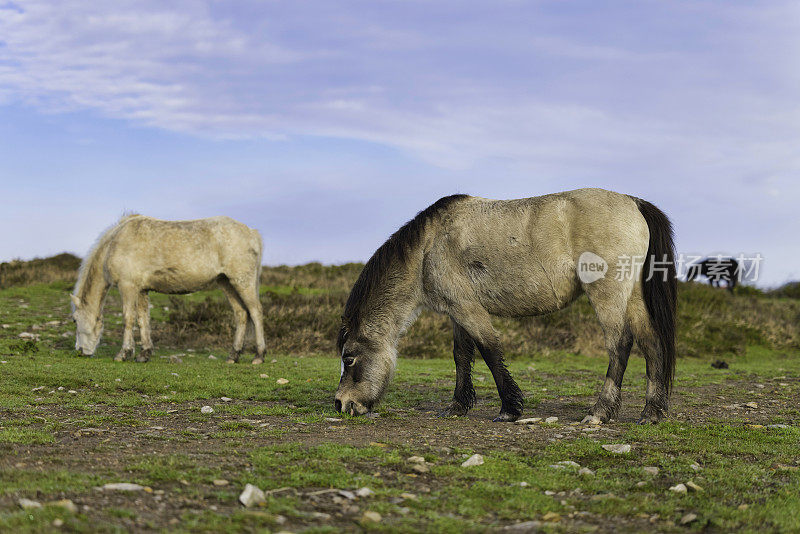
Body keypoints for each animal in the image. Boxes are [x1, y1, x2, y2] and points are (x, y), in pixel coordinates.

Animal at [72, 216, 266, 366]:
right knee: (241, 314)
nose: (80, 351)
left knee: (256, 312)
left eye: (74, 320)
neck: (115, 242)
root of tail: (252, 232)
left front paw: (123, 353)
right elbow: (143, 319)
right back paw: (233, 355)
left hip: (242, 282)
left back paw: (259, 356)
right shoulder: (141, 290)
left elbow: (128, 318)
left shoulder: (128, 286)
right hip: (226, 283)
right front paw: (144, 354)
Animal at [334, 191, 680, 426]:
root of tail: (634, 203)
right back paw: (653, 412)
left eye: (349, 358)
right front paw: (458, 406)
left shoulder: (467, 309)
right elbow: (462, 355)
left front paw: (510, 409)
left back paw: (600, 412)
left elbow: (489, 350)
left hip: (607, 295)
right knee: (651, 342)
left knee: (620, 344)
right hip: (632, 297)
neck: (427, 247)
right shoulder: (457, 312)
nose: (341, 404)